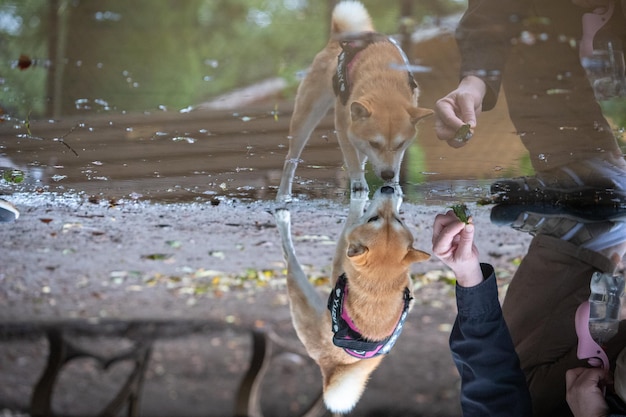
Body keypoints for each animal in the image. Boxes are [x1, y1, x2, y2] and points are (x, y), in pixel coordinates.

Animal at [272, 186, 428, 412]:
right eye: (375, 218)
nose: (388, 188)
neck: (379, 284)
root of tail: (333, 369)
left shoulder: (342, 252)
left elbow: (353, 213)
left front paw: (360, 195)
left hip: (298, 295)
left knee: (288, 253)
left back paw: (282, 214)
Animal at [276, 0, 432, 202]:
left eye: (400, 144)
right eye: (375, 143)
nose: (387, 175)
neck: (384, 80)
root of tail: (337, 39)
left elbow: (393, 161)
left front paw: (394, 185)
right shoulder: (344, 126)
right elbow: (352, 160)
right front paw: (359, 184)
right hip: (305, 119)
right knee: (291, 160)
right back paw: (283, 195)